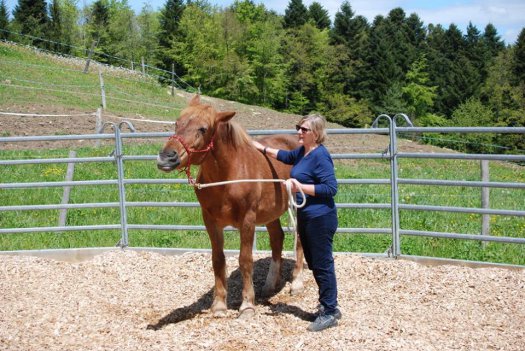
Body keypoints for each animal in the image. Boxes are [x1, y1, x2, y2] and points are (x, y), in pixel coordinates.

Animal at [157, 94, 302, 320]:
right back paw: (269, 285)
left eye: (203, 129)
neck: (229, 176)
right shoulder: (210, 220)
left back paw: (296, 283)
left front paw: (247, 305)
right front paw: (218, 305)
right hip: (271, 213)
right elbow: (218, 259)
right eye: (177, 123)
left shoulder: (248, 220)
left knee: (299, 241)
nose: (166, 157)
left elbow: (245, 260)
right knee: (277, 239)